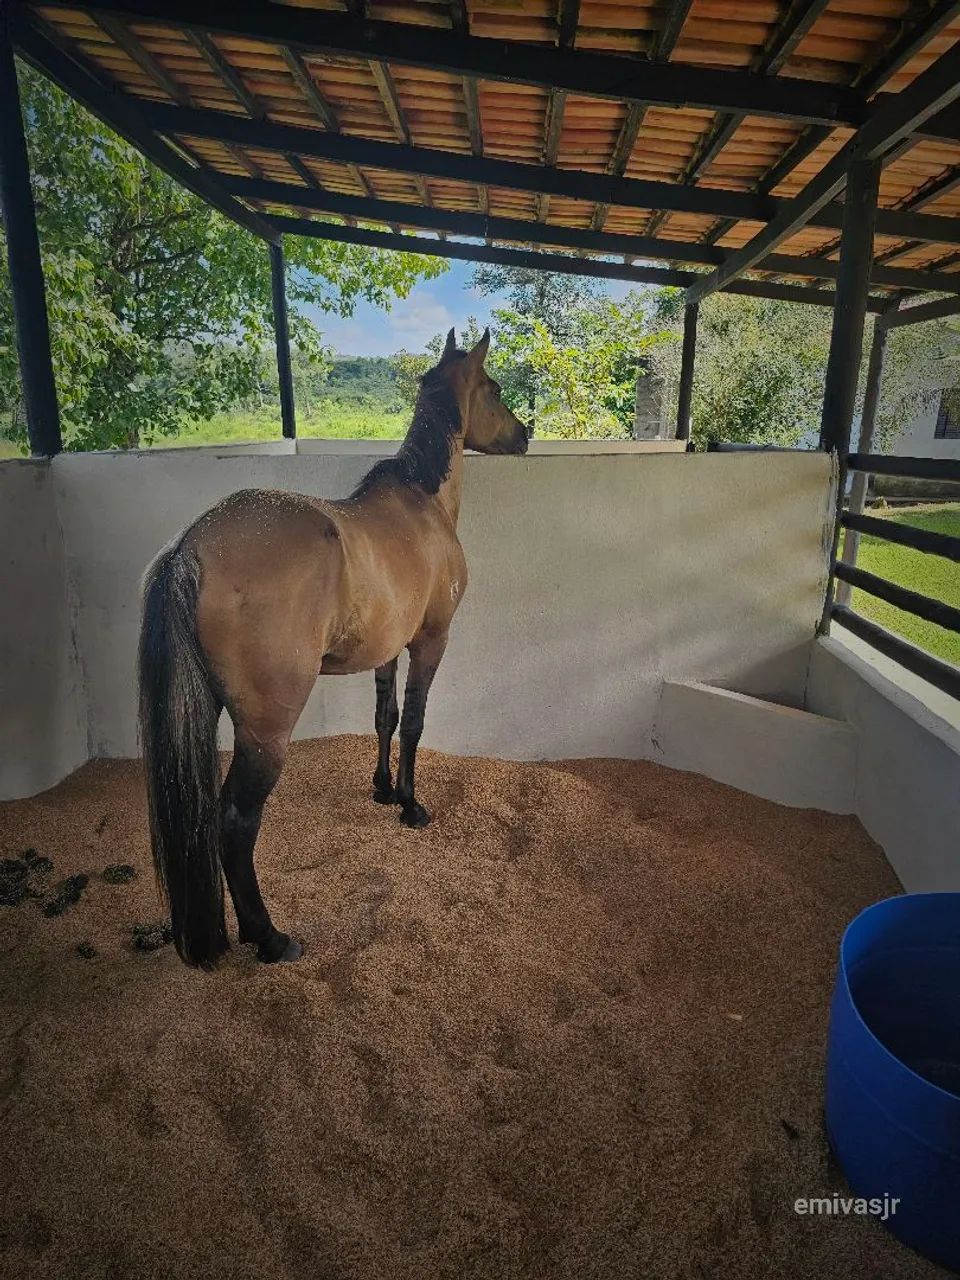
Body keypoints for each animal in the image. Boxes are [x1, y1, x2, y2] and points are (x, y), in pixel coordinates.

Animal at [138, 329, 528, 969]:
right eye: (494, 388)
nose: (526, 434)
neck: (422, 503)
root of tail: (192, 546)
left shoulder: (388, 648)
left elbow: (385, 717)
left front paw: (382, 789)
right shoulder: (430, 640)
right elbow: (415, 721)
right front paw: (410, 805)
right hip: (266, 731)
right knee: (234, 823)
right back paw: (269, 937)